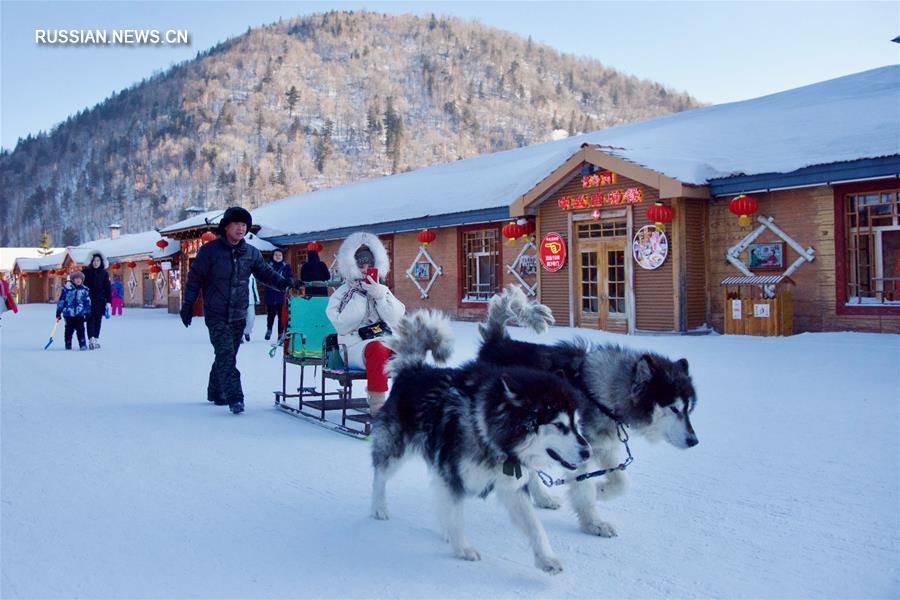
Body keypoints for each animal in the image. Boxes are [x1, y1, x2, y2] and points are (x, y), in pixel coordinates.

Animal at [370, 308, 592, 576]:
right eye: (559, 425)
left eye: (576, 422)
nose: (588, 452)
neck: (487, 432)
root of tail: (413, 369)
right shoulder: (452, 475)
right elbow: (456, 516)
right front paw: (463, 548)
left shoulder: (512, 484)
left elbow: (535, 526)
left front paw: (546, 559)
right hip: (395, 449)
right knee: (380, 475)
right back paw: (378, 507)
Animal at [474, 288, 700, 540]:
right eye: (674, 408)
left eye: (689, 409)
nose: (694, 441)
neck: (597, 393)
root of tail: (498, 342)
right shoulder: (578, 450)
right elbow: (584, 489)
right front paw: (594, 523)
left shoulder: (605, 447)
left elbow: (622, 482)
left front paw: (600, 489)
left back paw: (543, 498)